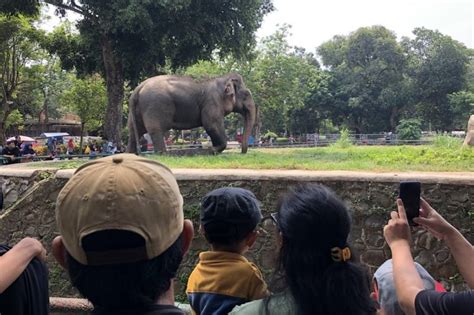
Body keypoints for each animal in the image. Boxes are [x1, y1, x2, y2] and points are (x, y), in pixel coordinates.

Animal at [127, 73, 256, 154]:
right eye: (246, 95)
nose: (242, 152)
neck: (222, 78)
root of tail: (139, 87)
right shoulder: (212, 101)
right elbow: (211, 124)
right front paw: (211, 150)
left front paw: (211, 149)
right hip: (155, 106)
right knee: (156, 130)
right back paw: (163, 154)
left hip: (138, 111)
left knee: (134, 131)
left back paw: (131, 154)